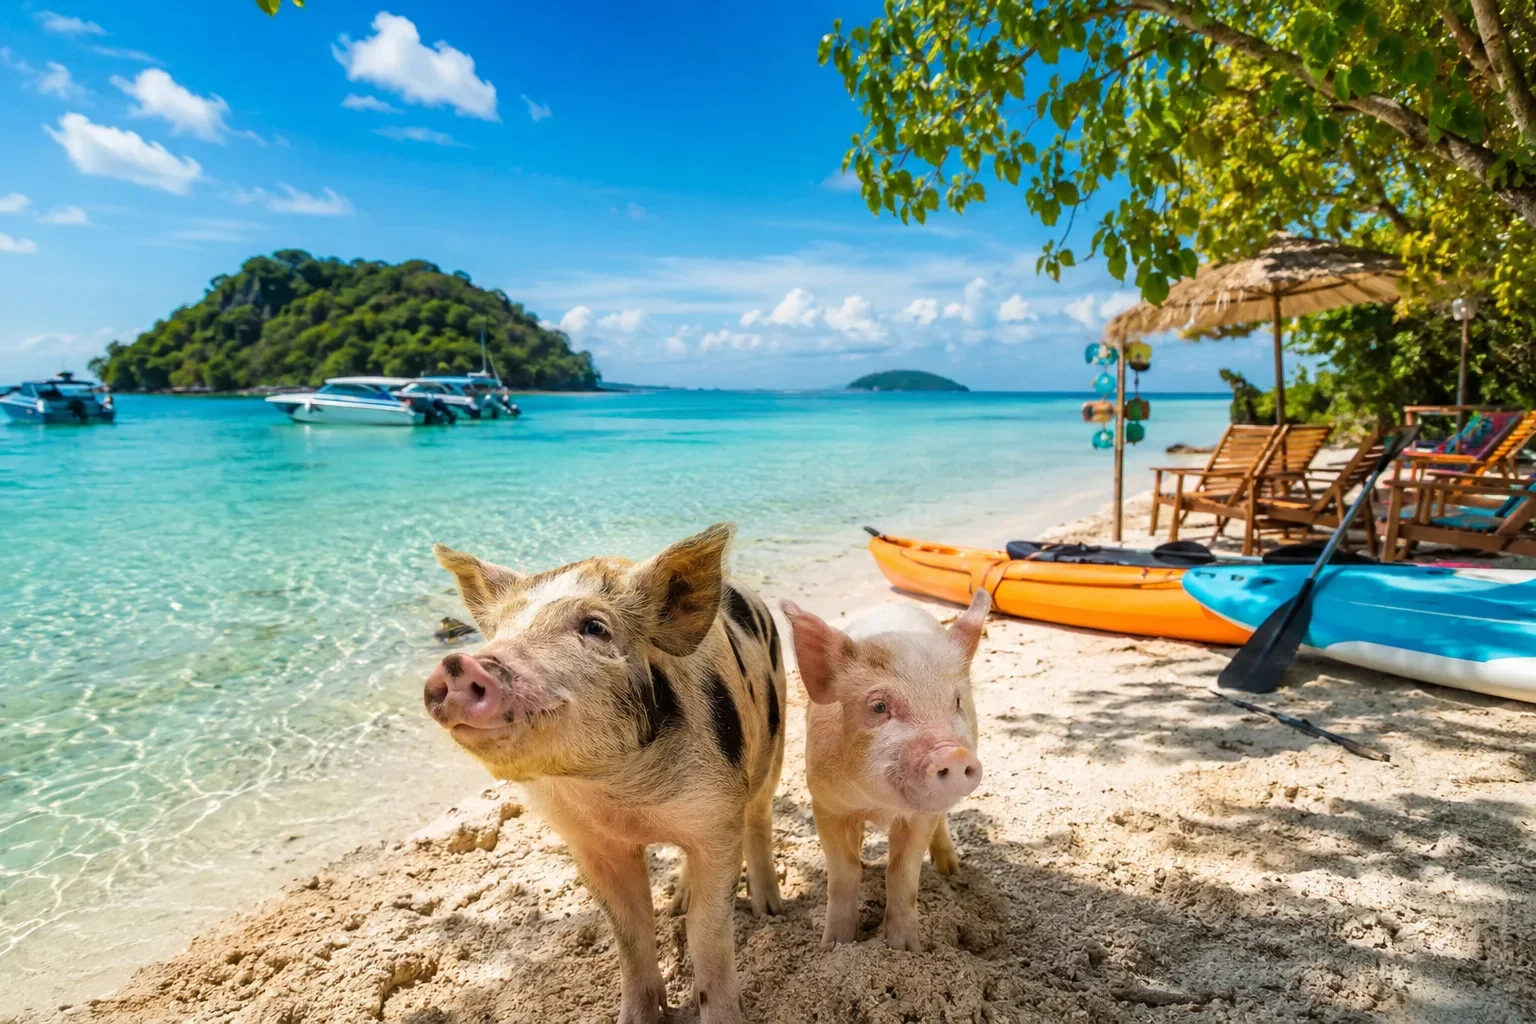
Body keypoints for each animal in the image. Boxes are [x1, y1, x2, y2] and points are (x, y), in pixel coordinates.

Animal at [422, 524, 786, 1024]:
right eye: (497, 630)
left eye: (595, 627)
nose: (457, 665)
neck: (621, 794)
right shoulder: (589, 842)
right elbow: (629, 935)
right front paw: (635, 1015)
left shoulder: (716, 817)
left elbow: (708, 934)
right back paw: (679, 902)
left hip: (776, 736)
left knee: (760, 814)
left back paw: (771, 910)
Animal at [781, 590, 989, 952]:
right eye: (879, 706)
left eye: (957, 702)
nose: (954, 753)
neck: (879, 805)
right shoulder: (824, 803)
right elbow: (844, 872)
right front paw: (834, 944)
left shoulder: (919, 817)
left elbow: (901, 874)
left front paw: (906, 950)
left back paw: (952, 872)